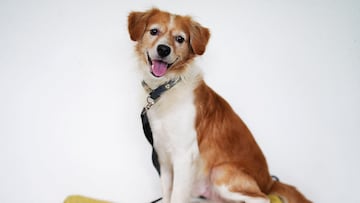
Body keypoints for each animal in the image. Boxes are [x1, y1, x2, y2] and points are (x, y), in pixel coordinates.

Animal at [128, 7, 310, 203]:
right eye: (154, 31)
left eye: (180, 39)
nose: (163, 49)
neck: (167, 88)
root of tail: (269, 182)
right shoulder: (163, 158)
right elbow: (167, 195)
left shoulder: (185, 155)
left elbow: (177, 196)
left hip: (220, 172)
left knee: (263, 198)